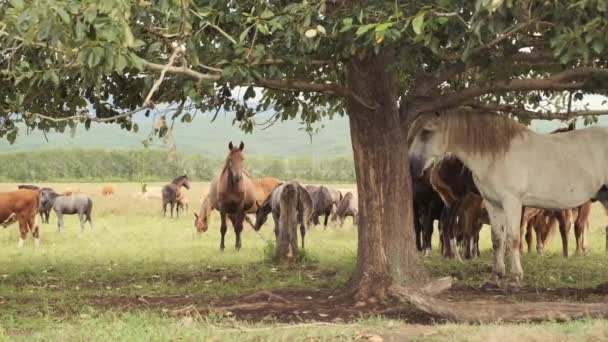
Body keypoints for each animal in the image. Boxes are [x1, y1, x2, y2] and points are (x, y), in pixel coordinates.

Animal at [406, 110, 608, 286]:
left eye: (426, 132)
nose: (412, 166)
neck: (497, 154)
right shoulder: (492, 203)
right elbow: (497, 239)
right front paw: (496, 275)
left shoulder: (512, 202)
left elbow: (513, 238)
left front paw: (516, 276)